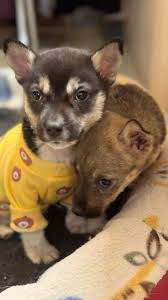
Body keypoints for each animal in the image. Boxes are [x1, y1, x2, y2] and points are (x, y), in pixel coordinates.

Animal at [0, 38, 123, 264]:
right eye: (36, 95)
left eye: (81, 95)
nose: (53, 128)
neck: (56, 158)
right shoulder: (23, 201)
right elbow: (32, 230)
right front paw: (40, 251)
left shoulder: (73, 186)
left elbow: (72, 209)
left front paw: (80, 223)